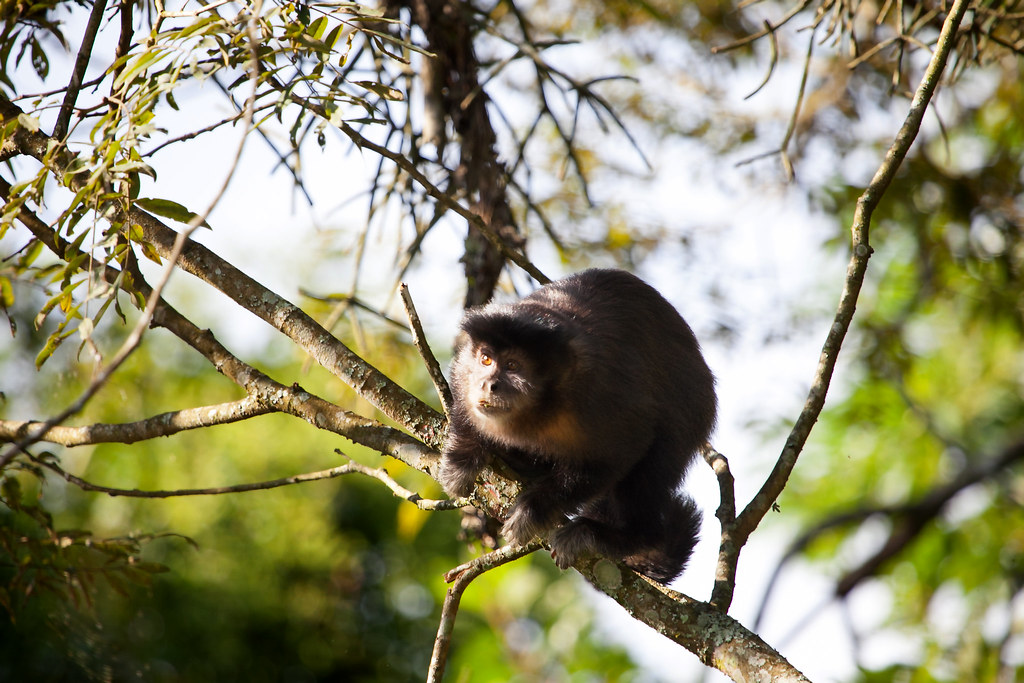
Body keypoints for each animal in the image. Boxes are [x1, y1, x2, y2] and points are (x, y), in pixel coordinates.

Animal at [440, 266, 720, 581]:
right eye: (486, 360)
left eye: (512, 366)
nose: (489, 384)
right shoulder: (466, 367)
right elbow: (460, 391)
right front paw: (463, 455)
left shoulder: (598, 391)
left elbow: (625, 447)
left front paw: (535, 508)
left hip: (695, 412)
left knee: (653, 463)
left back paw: (619, 536)